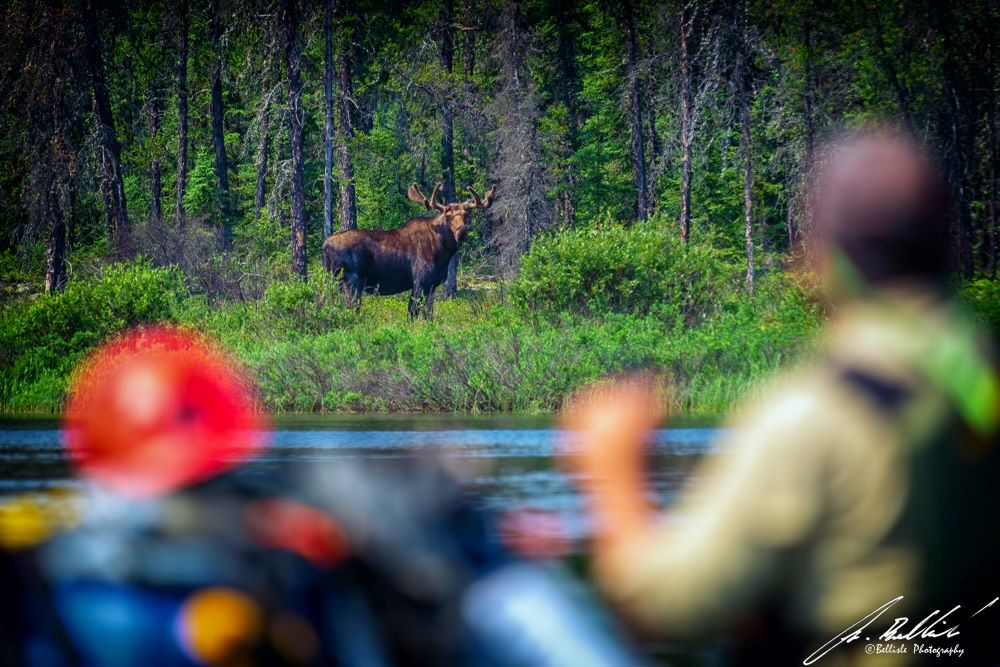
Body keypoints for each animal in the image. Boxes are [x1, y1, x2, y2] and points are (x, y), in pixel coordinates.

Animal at [324, 181, 496, 320]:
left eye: (466, 214)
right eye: (448, 216)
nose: (462, 232)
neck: (444, 252)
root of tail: (325, 245)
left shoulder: (432, 285)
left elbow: (429, 314)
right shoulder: (420, 281)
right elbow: (413, 312)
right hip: (352, 281)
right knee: (351, 308)